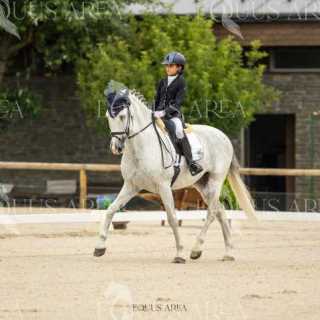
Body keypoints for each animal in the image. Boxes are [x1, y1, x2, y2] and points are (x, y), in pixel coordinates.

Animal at [94, 85, 256, 262]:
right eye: (107, 116)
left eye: (123, 116)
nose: (116, 147)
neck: (140, 147)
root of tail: (224, 137)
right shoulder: (132, 186)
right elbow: (111, 210)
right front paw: (99, 247)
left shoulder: (163, 186)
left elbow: (172, 217)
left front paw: (179, 254)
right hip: (202, 184)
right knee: (220, 211)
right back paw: (227, 253)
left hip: (216, 180)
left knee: (212, 212)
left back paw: (196, 249)